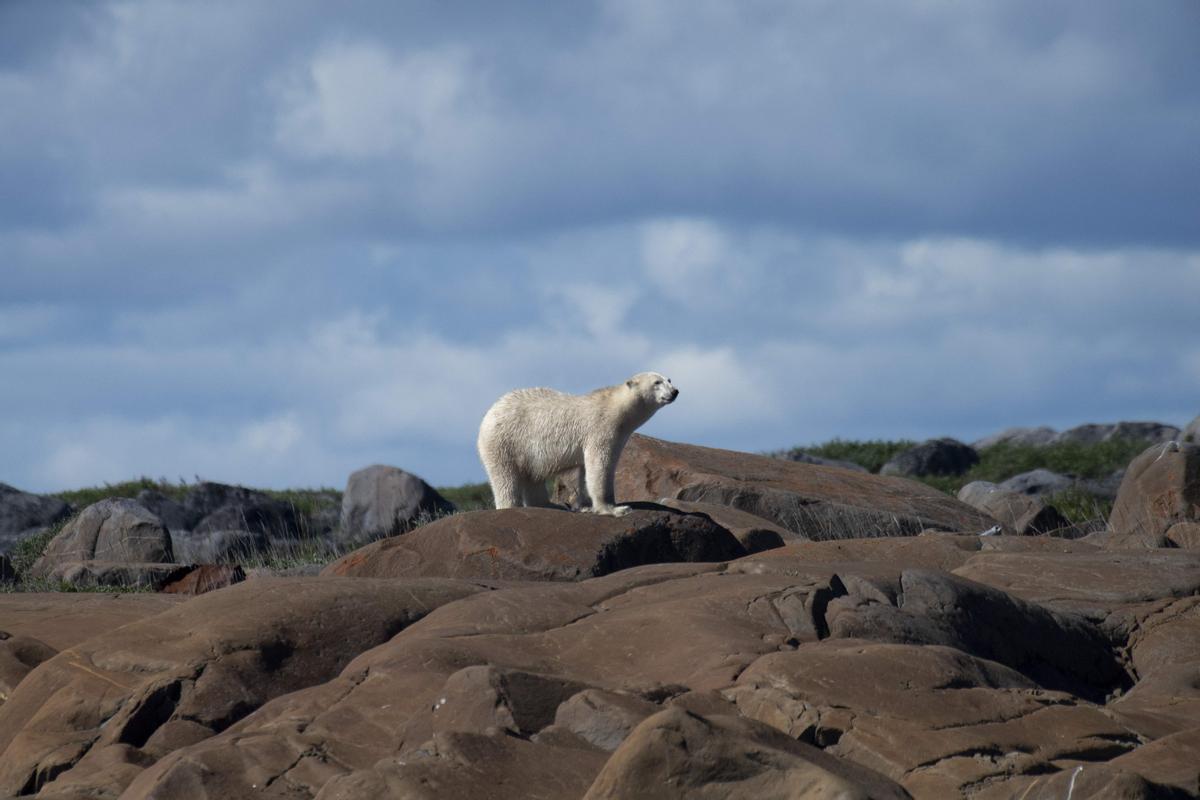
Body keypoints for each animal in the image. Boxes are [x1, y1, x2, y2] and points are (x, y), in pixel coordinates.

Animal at [482, 371, 681, 515]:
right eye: (657, 382)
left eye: (669, 379)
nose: (674, 392)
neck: (616, 408)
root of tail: (490, 412)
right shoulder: (600, 429)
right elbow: (599, 466)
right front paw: (614, 509)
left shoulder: (616, 436)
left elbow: (586, 470)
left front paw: (586, 506)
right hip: (505, 442)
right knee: (505, 478)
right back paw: (511, 506)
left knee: (533, 477)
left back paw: (551, 505)